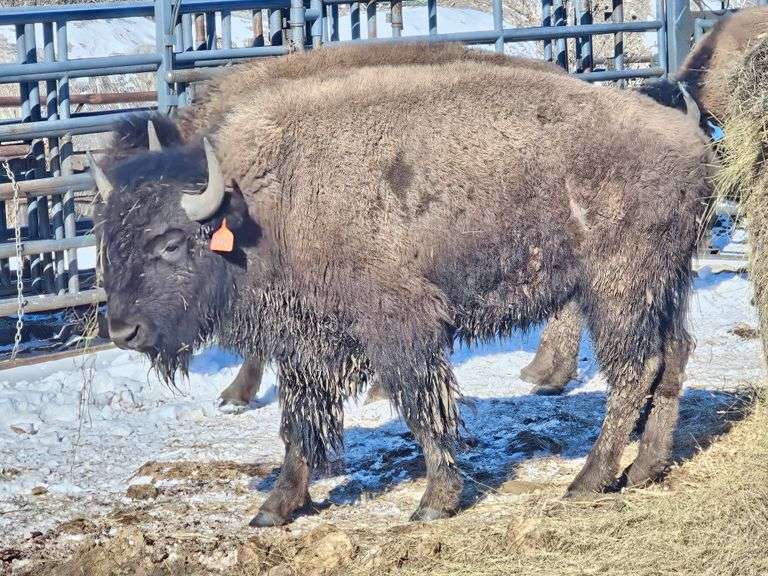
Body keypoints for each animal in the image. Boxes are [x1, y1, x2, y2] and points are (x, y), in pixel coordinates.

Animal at [93, 51, 711, 526]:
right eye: (107, 234)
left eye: (171, 242)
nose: (123, 330)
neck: (265, 200)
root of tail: (689, 141)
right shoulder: (306, 345)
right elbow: (298, 425)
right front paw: (276, 508)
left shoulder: (400, 330)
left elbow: (423, 410)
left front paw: (434, 502)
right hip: (665, 284)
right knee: (673, 357)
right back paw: (645, 468)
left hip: (617, 289)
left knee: (634, 369)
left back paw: (588, 479)